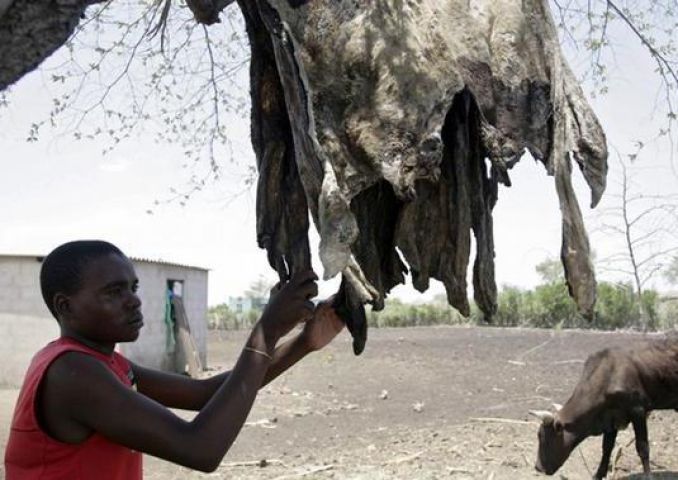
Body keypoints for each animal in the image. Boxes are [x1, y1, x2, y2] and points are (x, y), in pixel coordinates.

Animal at [532, 340, 678, 478]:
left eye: (542, 436)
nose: (538, 468)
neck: (608, 375)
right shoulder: (610, 418)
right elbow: (607, 448)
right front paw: (598, 474)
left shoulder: (638, 411)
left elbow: (642, 447)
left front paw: (648, 476)